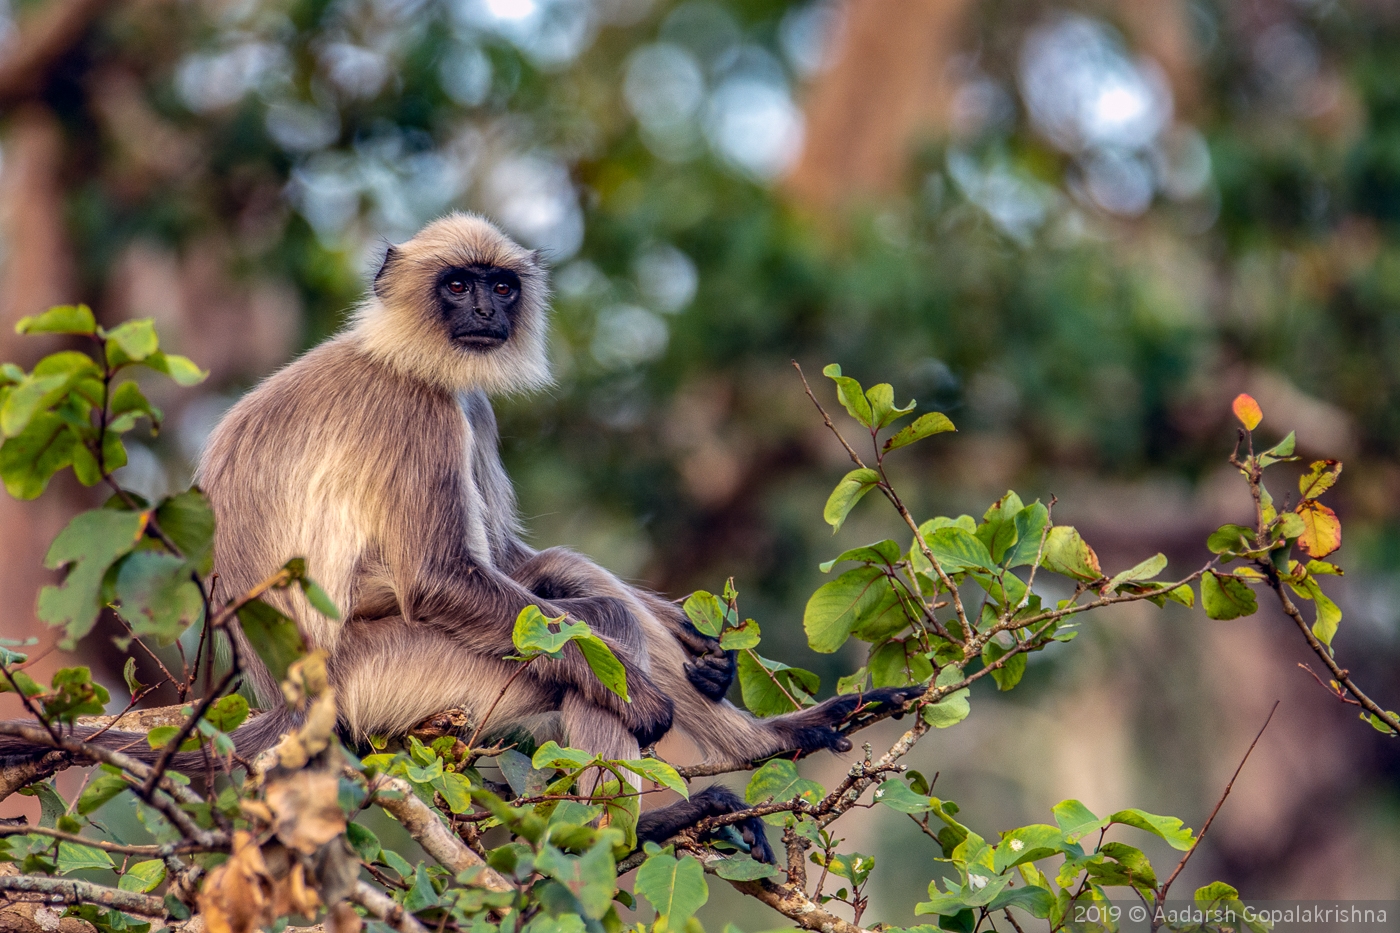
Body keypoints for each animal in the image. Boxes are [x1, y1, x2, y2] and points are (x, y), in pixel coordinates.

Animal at [0, 214, 924, 851]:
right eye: (456, 285)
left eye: (499, 286)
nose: (483, 306)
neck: (397, 353)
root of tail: (288, 701)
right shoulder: (422, 411)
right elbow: (446, 577)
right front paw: (646, 694)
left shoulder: (463, 402)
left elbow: (523, 561)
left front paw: (695, 642)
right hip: (394, 678)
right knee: (589, 646)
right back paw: (629, 827)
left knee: (582, 599)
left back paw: (774, 736)